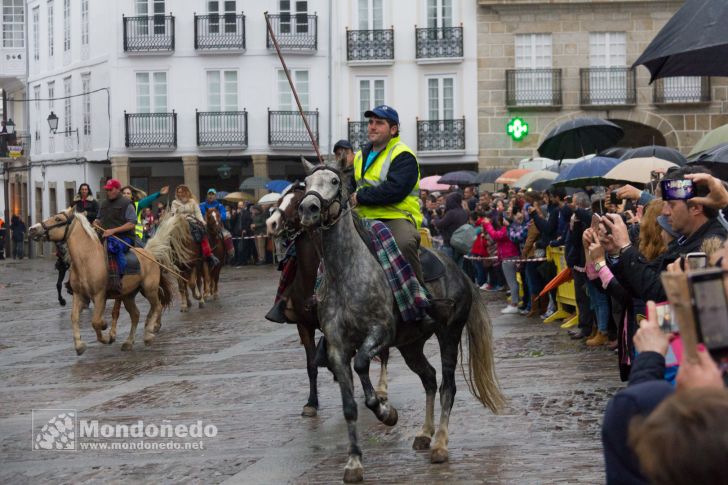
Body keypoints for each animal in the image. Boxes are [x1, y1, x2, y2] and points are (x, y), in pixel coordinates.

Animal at [28, 208, 178, 356]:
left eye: (58, 219)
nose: (32, 229)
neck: (87, 260)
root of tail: (148, 253)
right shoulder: (79, 295)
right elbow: (74, 317)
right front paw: (79, 345)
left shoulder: (100, 295)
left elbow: (96, 321)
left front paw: (106, 333)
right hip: (128, 295)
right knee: (136, 315)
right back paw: (129, 342)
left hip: (149, 289)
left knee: (157, 306)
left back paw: (148, 334)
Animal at [268, 185, 390, 416]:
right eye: (279, 201)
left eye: (296, 203)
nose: (271, 224)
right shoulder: (304, 325)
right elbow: (311, 365)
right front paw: (311, 403)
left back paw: (380, 390)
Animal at [298, 161, 506, 482]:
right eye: (305, 183)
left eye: (334, 181)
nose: (308, 208)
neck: (346, 272)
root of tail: (459, 271)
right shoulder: (337, 348)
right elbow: (349, 406)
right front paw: (354, 463)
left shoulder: (381, 332)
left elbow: (363, 366)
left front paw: (386, 412)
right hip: (411, 346)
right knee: (429, 378)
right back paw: (424, 434)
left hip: (449, 334)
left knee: (447, 387)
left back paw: (440, 445)